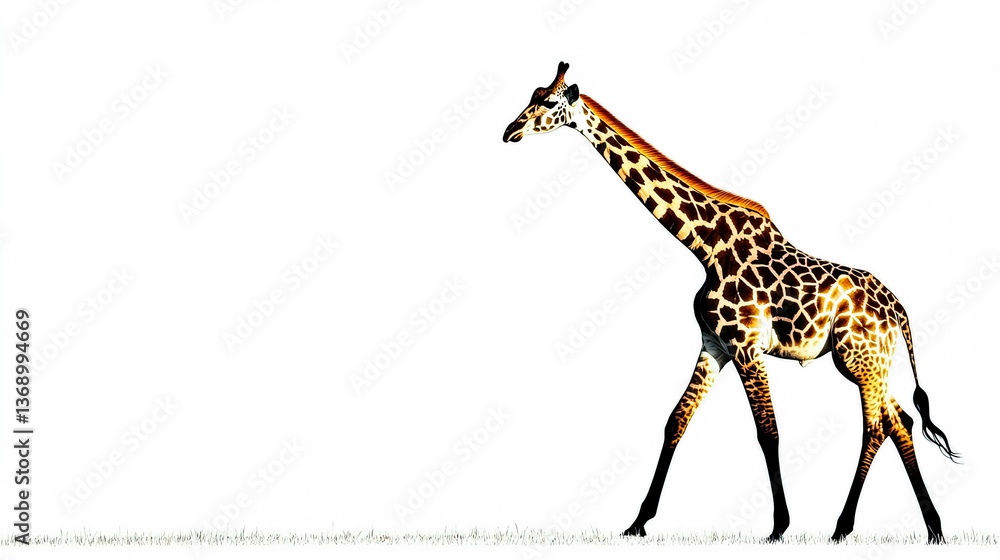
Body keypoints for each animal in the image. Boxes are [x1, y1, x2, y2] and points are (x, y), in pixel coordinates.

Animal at [502, 62, 959, 543]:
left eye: (549, 102)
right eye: (531, 94)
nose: (510, 131)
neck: (705, 245)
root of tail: (900, 311)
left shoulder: (745, 347)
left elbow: (768, 432)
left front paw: (779, 526)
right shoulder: (713, 345)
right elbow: (675, 421)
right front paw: (638, 522)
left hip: (858, 358)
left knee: (877, 426)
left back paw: (843, 527)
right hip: (874, 361)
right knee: (901, 421)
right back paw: (932, 528)